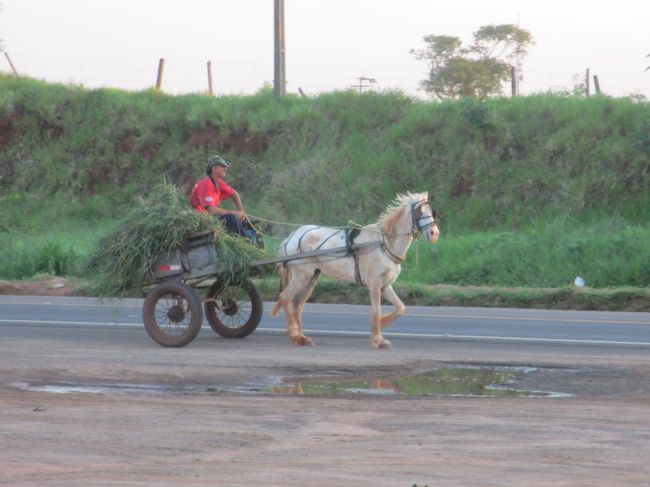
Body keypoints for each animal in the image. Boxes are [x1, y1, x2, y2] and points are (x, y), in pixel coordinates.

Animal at [271, 192, 440, 349]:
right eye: (419, 212)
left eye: (431, 212)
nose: (434, 233)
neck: (384, 243)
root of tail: (291, 238)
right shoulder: (374, 284)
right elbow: (376, 311)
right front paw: (377, 339)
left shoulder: (385, 286)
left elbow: (401, 308)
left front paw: (381, 324)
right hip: (302, 276)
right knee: (285, 298)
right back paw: (294, 335)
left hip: (312, 277)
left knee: (297, 305)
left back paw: (301, 337)